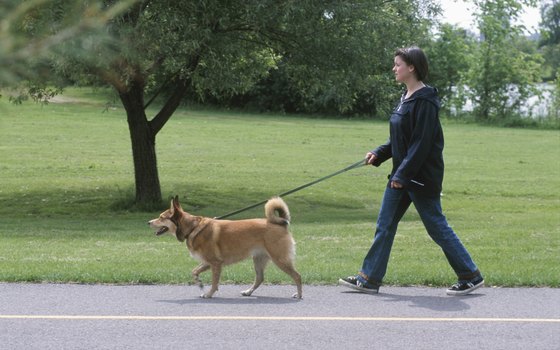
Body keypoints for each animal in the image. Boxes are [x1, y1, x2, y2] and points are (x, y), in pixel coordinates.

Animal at [149, 196, 302, 300]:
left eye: (161, 217)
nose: (148, 222)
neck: (193, 227)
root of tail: (280, 223)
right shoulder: (208, 262)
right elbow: (194, 272)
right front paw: (199, 283)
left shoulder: (215, 263)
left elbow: (214, 282)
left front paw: (209, 294)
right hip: (258, 259)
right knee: (260, 278)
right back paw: (248, 292)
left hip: (280, 259)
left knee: (297, 276)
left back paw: (299, 294)